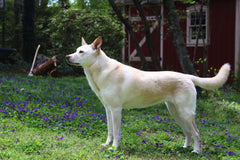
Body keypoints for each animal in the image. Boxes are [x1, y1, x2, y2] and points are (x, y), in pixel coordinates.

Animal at [65, 36, 231, 152]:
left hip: (185, 113)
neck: (100, 69)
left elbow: (117, 132)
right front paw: (106, 145)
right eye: (76, 49)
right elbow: (110, 131)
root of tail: (187, 76)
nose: (67, 57)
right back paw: (184, 148)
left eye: (81, 52)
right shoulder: (108, 109)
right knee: (188, 132)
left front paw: (114, 148)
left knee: (196, 132)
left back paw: (196, 151)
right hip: (175, 113)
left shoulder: (116, 110)